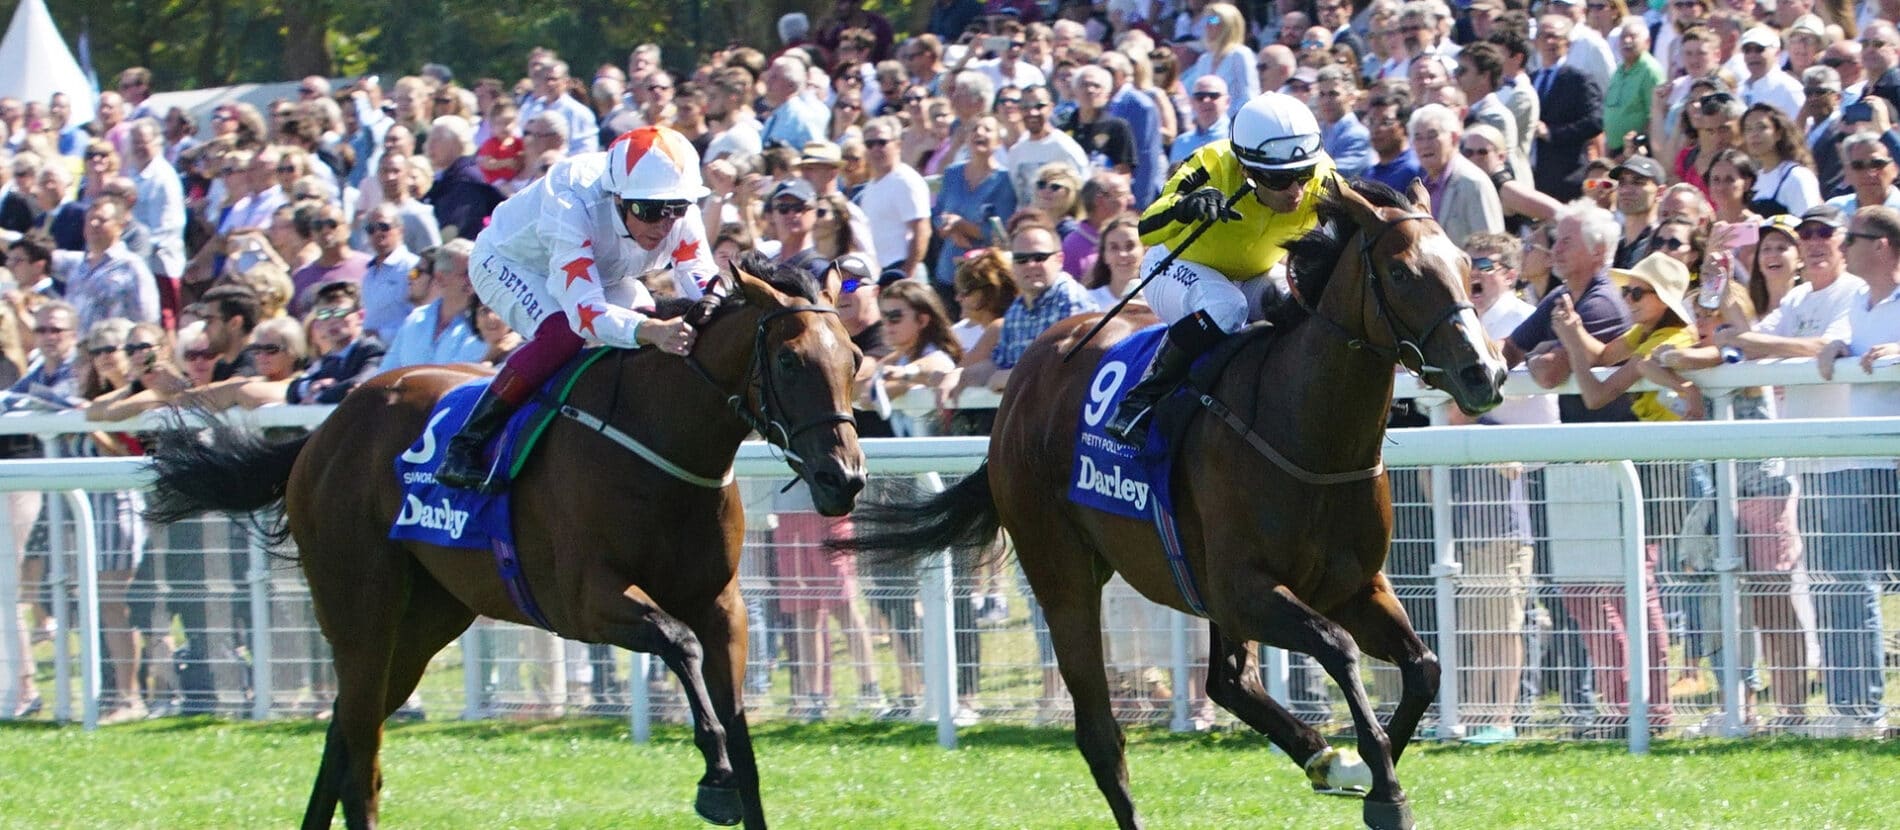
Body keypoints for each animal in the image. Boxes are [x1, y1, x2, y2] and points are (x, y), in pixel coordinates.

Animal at [142, 264, 870, 828]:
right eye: (788, 360)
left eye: (856, 360)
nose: (844, 477)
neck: (656, 439)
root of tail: (321, 433)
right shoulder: (584, 601)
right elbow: (679, 644)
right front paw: (712, 777)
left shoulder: (723, 605)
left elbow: (743, 739)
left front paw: (729, 775)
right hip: (360, 608)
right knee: (361, 759)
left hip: (427, 617)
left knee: (346, 732)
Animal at [855, 181, 1504, 828]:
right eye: (1400, 272)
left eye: (1467, 266)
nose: (1486, 372)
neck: (1309, 432)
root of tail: (1021, 382)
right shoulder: (1245, 590)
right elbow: (1339, 648)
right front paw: (1384, 787)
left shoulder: (1353, 585)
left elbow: (1424, 667)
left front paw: (1370, 768)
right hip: (1062, 570)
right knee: (1102, 733)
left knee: (1228, 681)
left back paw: (1320, 756)